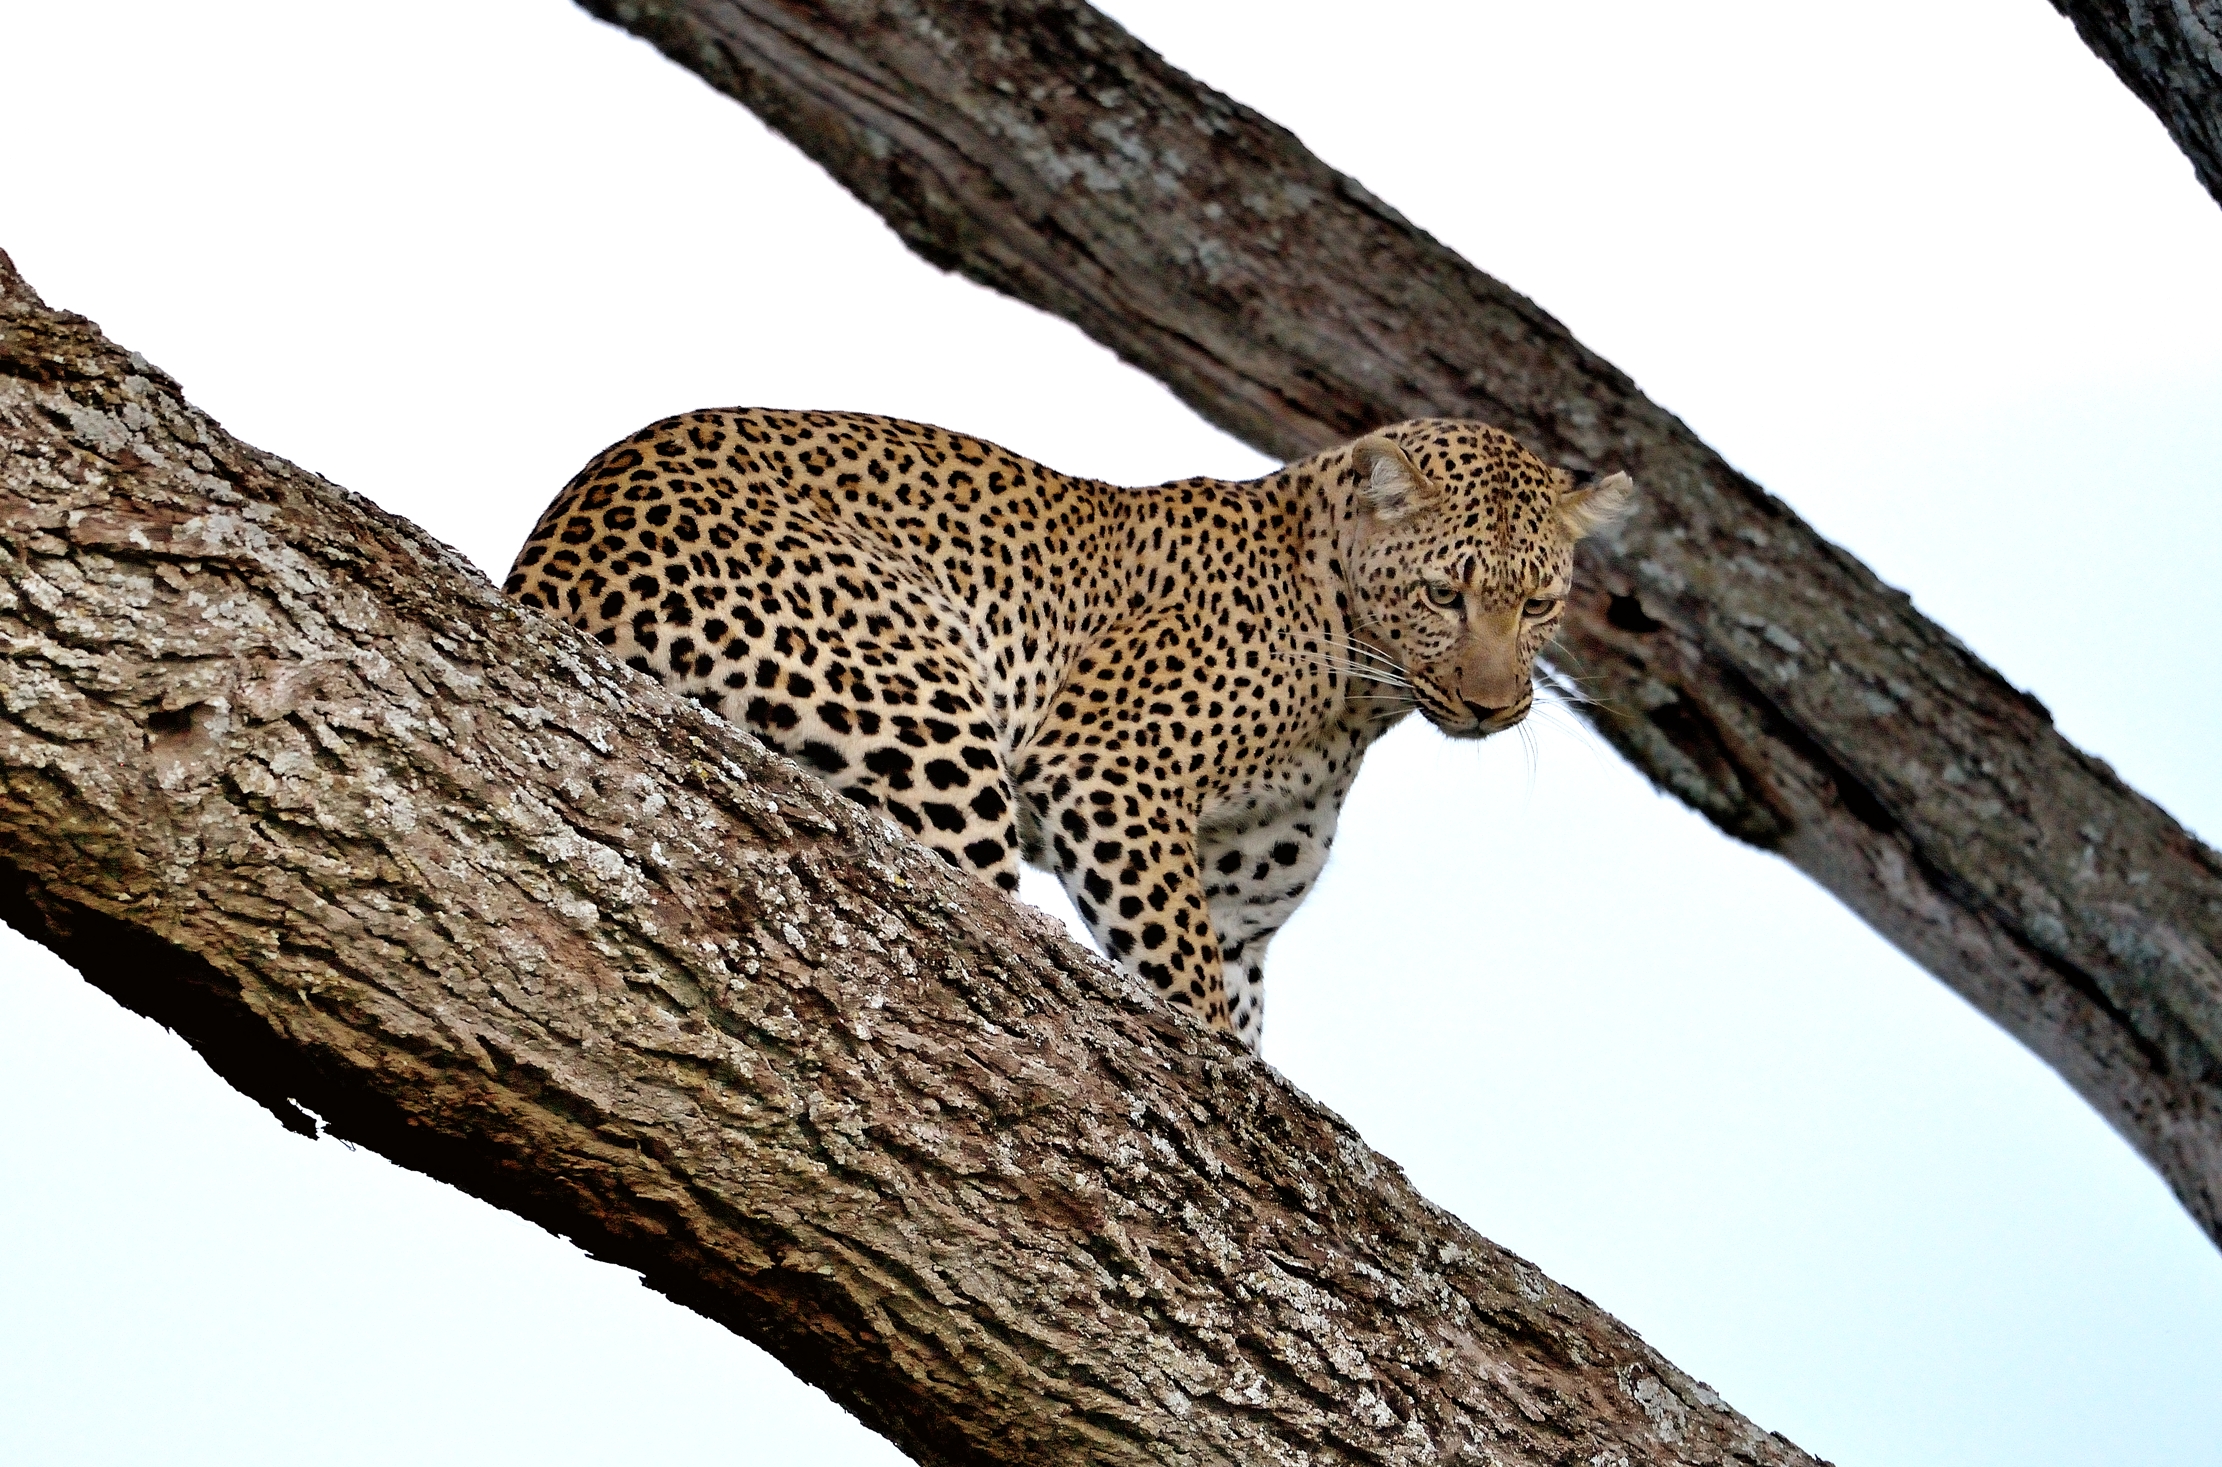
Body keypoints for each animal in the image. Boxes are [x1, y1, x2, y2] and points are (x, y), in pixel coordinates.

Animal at [505, 408, 1633, 1050]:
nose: (1492, 704)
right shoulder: (1110, 772)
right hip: (932, 733)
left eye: (1539, 605)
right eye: (1447, 594)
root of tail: (544, 571)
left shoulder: (1242, 910)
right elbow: (1188, 997)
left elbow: (1234, 1014)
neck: (1358, 693)